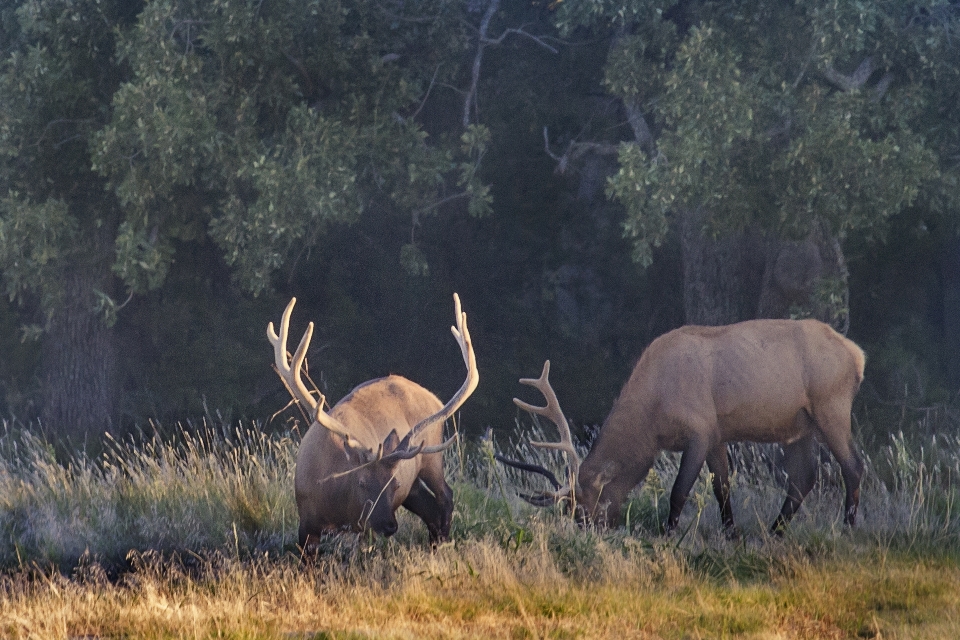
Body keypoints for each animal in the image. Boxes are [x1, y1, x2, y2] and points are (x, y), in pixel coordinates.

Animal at [268, 292, 478, 548]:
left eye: (394, 484)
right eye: (362, 483)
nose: (389, 525)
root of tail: (435, 399)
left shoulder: (365, 529)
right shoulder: (306, 523)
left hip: (431, 458)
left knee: (445, 496)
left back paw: (441, 543)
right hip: (414, 484)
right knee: (429, 507)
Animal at [498, 320, 868, 536]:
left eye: (590, 506)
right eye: (574, 513)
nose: (592, 533)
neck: (652, 417)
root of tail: (857, 354)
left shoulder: (700, 428)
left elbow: (679, 490)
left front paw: (669, 533)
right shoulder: (717, 434)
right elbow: (722, 487)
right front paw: (731, 532)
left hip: (831, 405)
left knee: (853, 464)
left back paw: (847, 528)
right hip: (797, 425)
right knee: (803, 478)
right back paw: (774, 531)